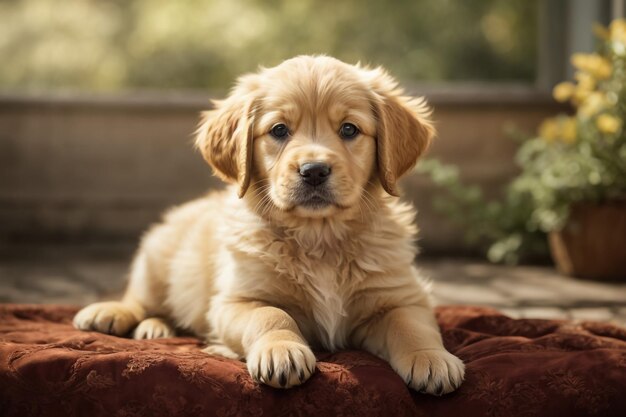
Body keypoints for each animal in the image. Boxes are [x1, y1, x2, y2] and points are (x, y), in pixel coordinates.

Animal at [73, 54, 464, 394]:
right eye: (279, 130)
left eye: (349, 129)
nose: (314, 170)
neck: (320, 237)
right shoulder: (236, 301)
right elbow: (271, 314)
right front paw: (281, 351)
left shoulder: (401, 296)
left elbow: (410, 325)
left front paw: (432, 358)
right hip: (156, 258)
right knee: (139, 299)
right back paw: (113, 314)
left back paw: (156, 329)